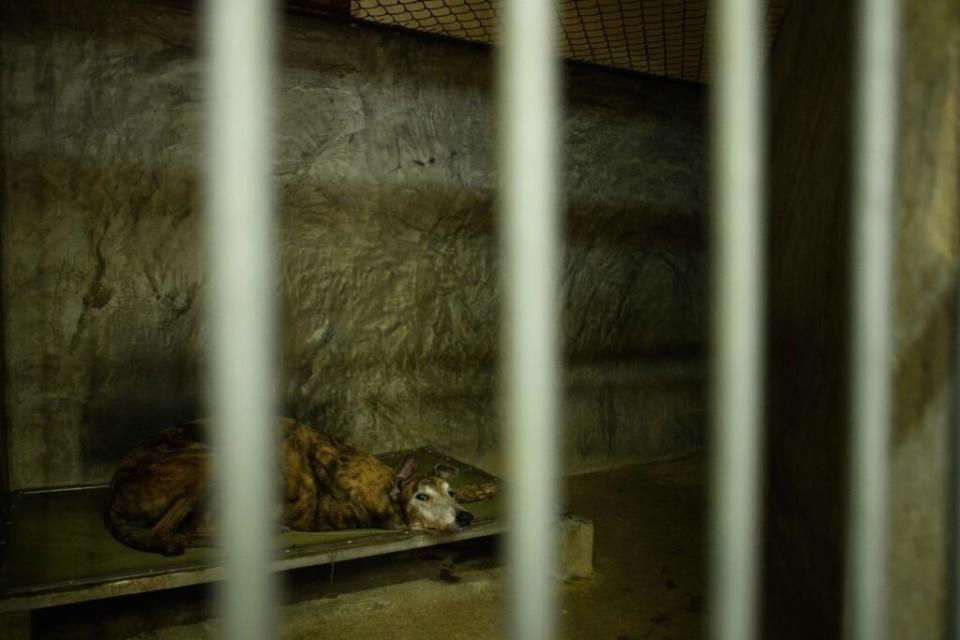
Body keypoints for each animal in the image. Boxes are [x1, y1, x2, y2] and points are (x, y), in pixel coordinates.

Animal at [102, 418, 498, 556]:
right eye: (421, 497)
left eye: (448, 491)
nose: (464, 519)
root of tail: (113, 493)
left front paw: (482, 489)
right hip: (208, 460)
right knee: (173, 531)